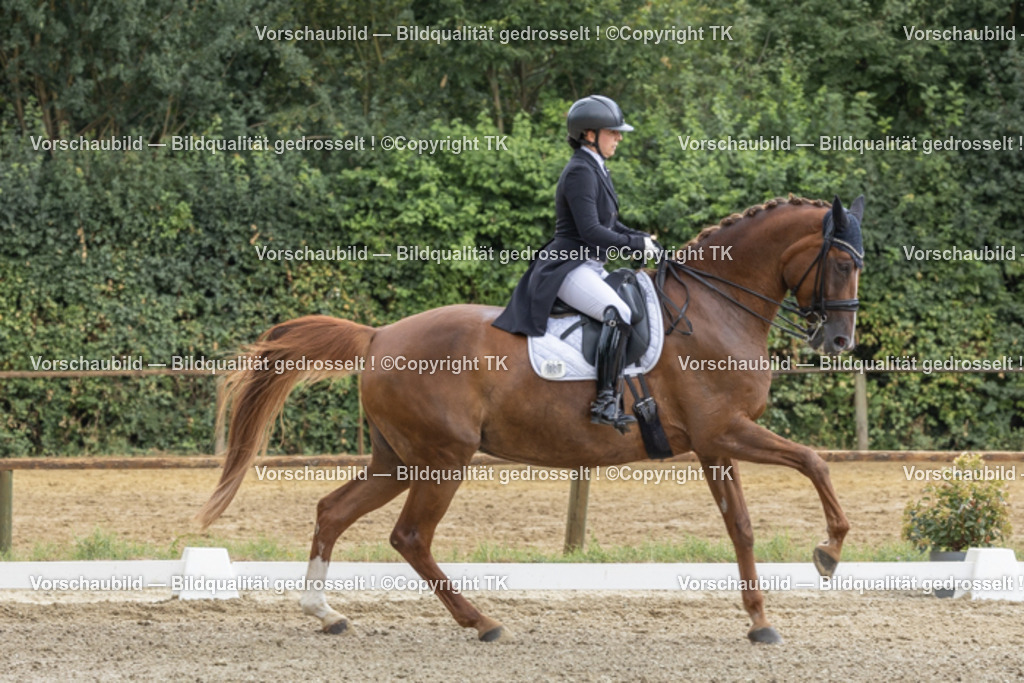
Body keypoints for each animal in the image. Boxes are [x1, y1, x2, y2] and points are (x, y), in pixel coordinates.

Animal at [198, 194, 865, 644]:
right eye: (841, 263)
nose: (838, 341)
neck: (712, 309)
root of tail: (379, 334)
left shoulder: (714, 444)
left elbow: (742, 528)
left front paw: (760, 623)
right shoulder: (724, 431)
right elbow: (815, 461)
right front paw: (828, 552)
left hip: (399, 459)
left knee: (333, 511)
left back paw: (326, 613)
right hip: (442, 460)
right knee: (409, 537)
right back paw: (483, 622)